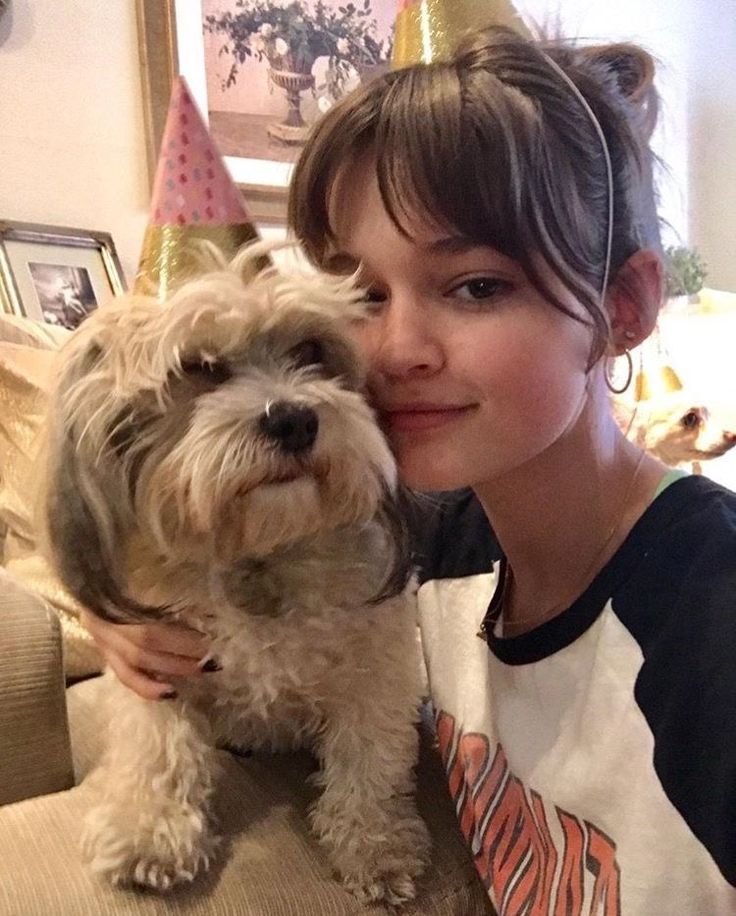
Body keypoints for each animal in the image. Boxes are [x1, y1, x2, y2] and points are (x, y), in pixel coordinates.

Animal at [41, 242, 432, 900]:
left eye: (312, 351)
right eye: (199, 367)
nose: (294, 419)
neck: (259, 552)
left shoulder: (375, 672)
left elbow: (369, 758)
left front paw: (375, 843)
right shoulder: (157, 671)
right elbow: (159, 749)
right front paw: (148, 832)